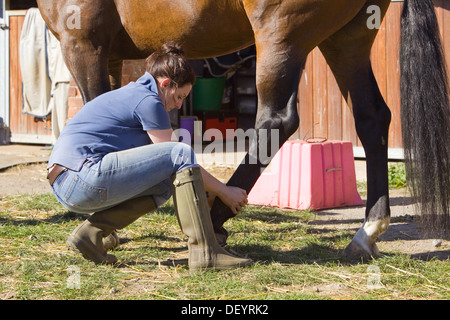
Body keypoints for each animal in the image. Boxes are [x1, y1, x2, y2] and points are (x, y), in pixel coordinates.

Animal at [37, 0, 448, 258]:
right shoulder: (109, 53)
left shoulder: (83, 43)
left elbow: (95, 106)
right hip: (348, 38)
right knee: (372, 119)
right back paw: (367, 233)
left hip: (280, 36)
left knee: (278, 120)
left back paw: (218, 216)